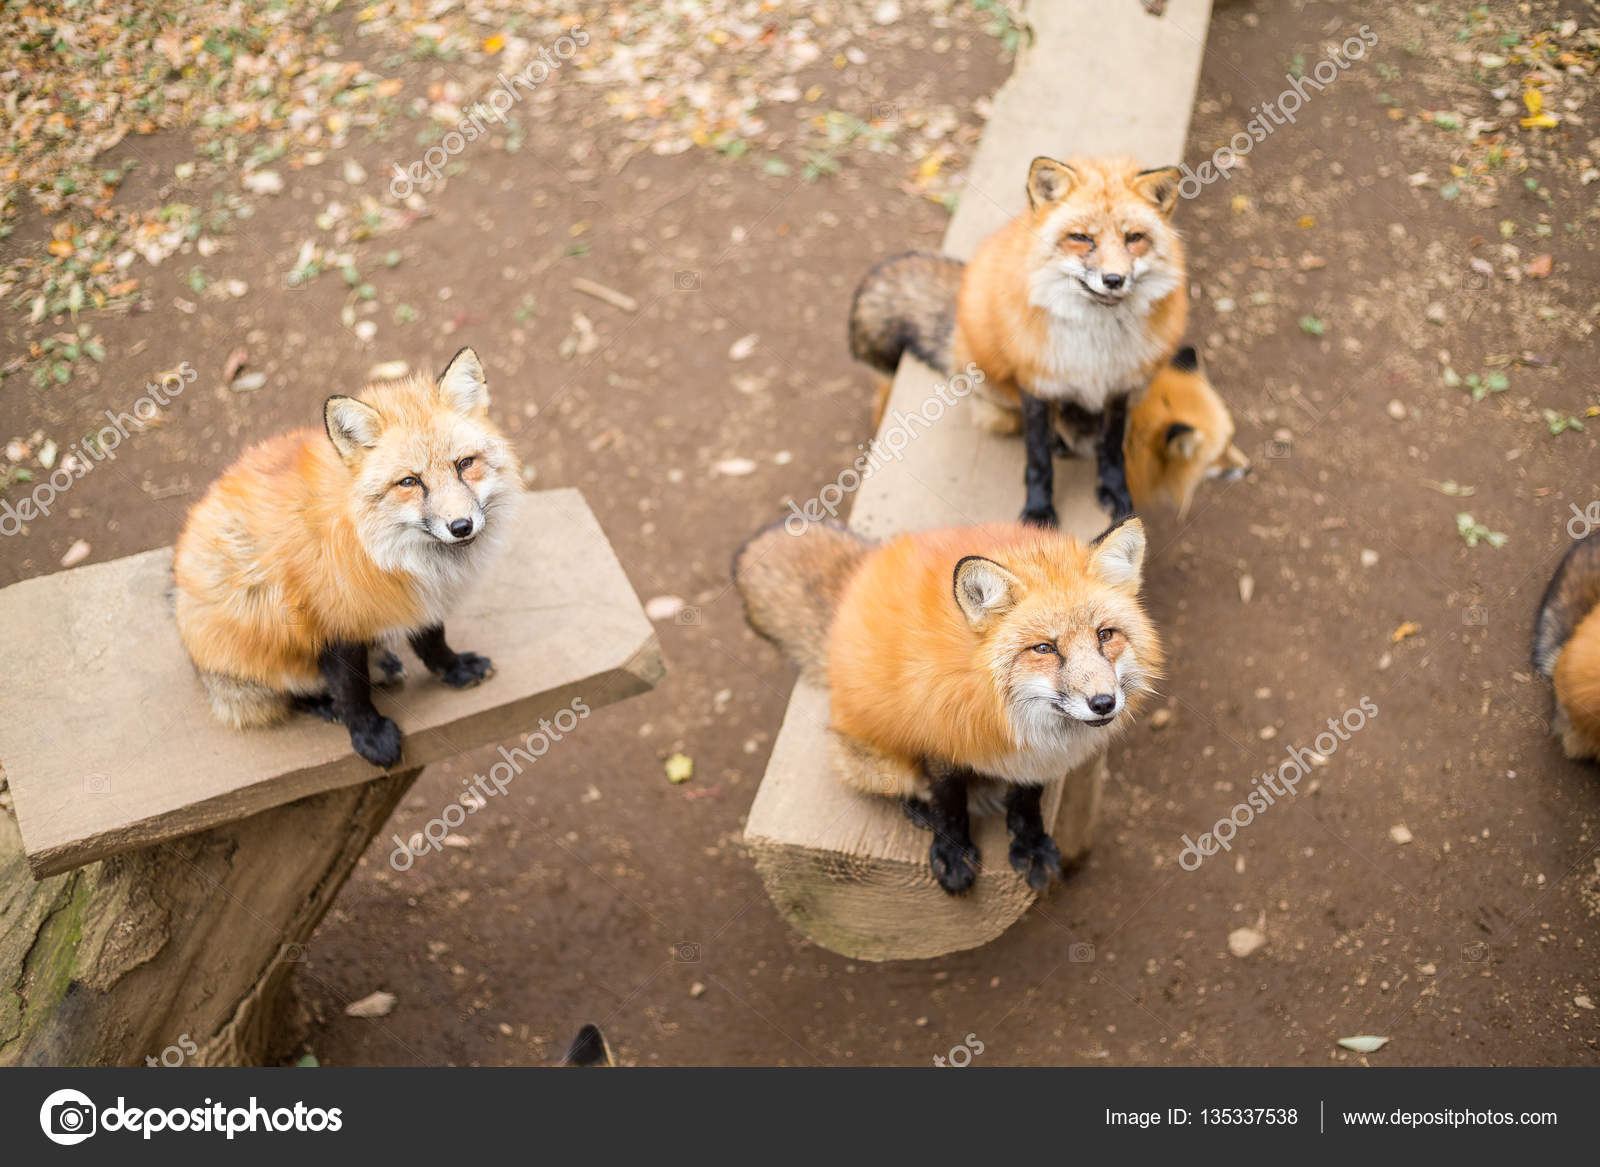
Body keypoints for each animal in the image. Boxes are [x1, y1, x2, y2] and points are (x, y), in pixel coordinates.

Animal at [172, 347, 521, 768]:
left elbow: (433, 640)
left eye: (464, 464)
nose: (461, 526)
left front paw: (453, 669)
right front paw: (369, 736)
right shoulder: (331, 620)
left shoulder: (419, 598)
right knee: (285, 695)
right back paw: (325, 702)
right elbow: (352, 689)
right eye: (409, 482)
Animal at [735, 516, 1161, 894]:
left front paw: (1030, 844)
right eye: (1044, 648)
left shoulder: (1039, 758)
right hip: (870, 761)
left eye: (1105, 635)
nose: (1104, 703)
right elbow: (950, 800)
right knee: (905, 784)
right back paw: (920, 810)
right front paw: (953, 852)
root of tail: (858, 582)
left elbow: (1028, 800)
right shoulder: (939, 734)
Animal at [851, 154, 1188, 527]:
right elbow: (1038, 458)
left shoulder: (1121, 387)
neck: (1094, 348)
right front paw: (1039, 509)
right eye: (1081, 238)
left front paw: (1114, 489)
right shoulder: (1036, 383)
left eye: (1134, 238)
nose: (1114, 279)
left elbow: (1112, 448)